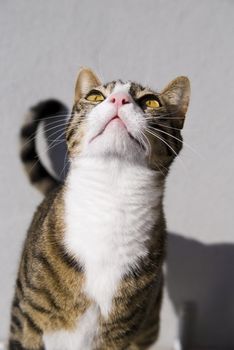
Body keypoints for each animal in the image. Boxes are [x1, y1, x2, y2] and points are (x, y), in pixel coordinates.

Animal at [8, 68, 190, 350]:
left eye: (151, 102)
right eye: (95, 96)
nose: (119, 100)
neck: (109, 203)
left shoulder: (117, 335)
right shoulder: (25, 320)